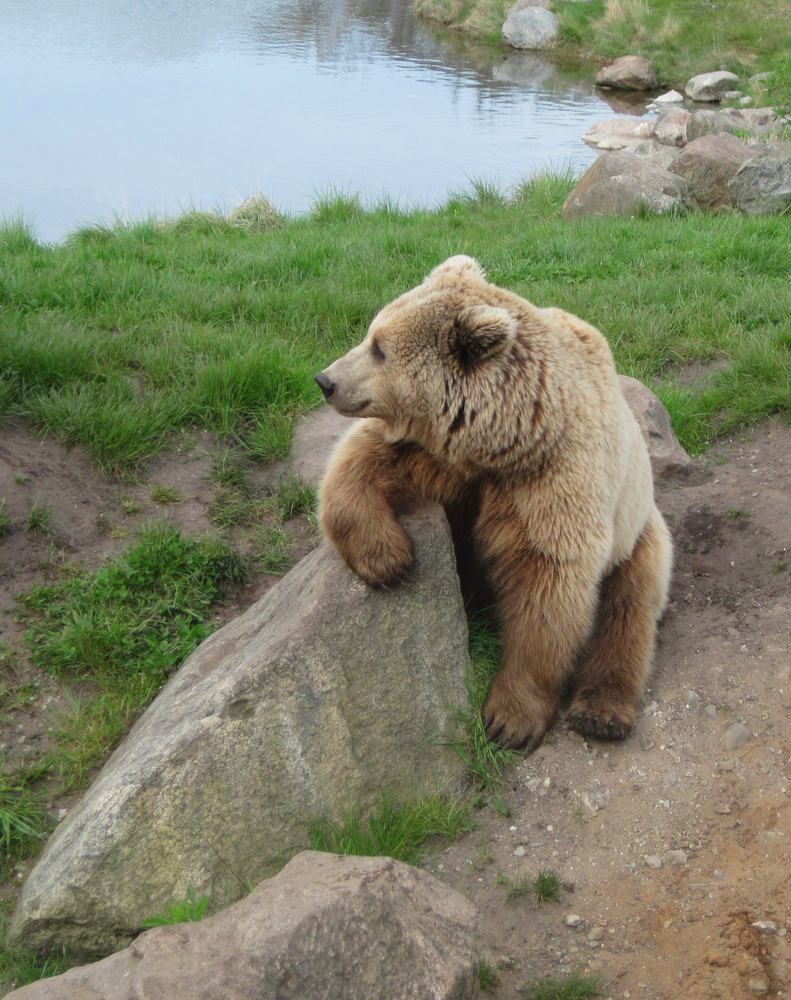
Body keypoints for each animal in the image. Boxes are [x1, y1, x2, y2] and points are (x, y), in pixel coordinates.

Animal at [312, 256, 672, 752]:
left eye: (380, 348)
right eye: (370, 333)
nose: (325, 380)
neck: (505, 441)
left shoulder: (553, 481)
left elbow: (548, 589)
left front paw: (508, 719)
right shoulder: (442, 457)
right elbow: (362, 461)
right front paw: (388, 559)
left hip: (638, 532)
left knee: (628, 609)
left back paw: (601, 712)